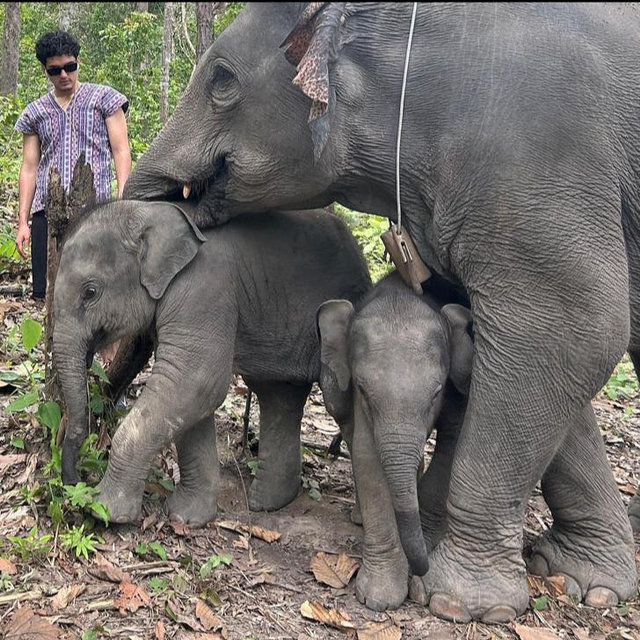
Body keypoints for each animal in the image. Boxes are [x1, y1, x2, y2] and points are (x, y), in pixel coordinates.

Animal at [52, 199, 371, 525]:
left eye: (90, 292)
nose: (75, 482)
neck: (154, 210)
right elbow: (190, 398)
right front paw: (185, 517)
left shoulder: (204, 290)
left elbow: (196, 381)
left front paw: (103, 511)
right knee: (279, 395)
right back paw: (266, 503)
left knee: (334, 404)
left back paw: (357, 519)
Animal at [316, 271, 473, 610]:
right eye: (364, 390)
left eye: (437, 392)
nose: (421, 573)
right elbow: (367, 458)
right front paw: (380, 600)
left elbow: (454, 439)